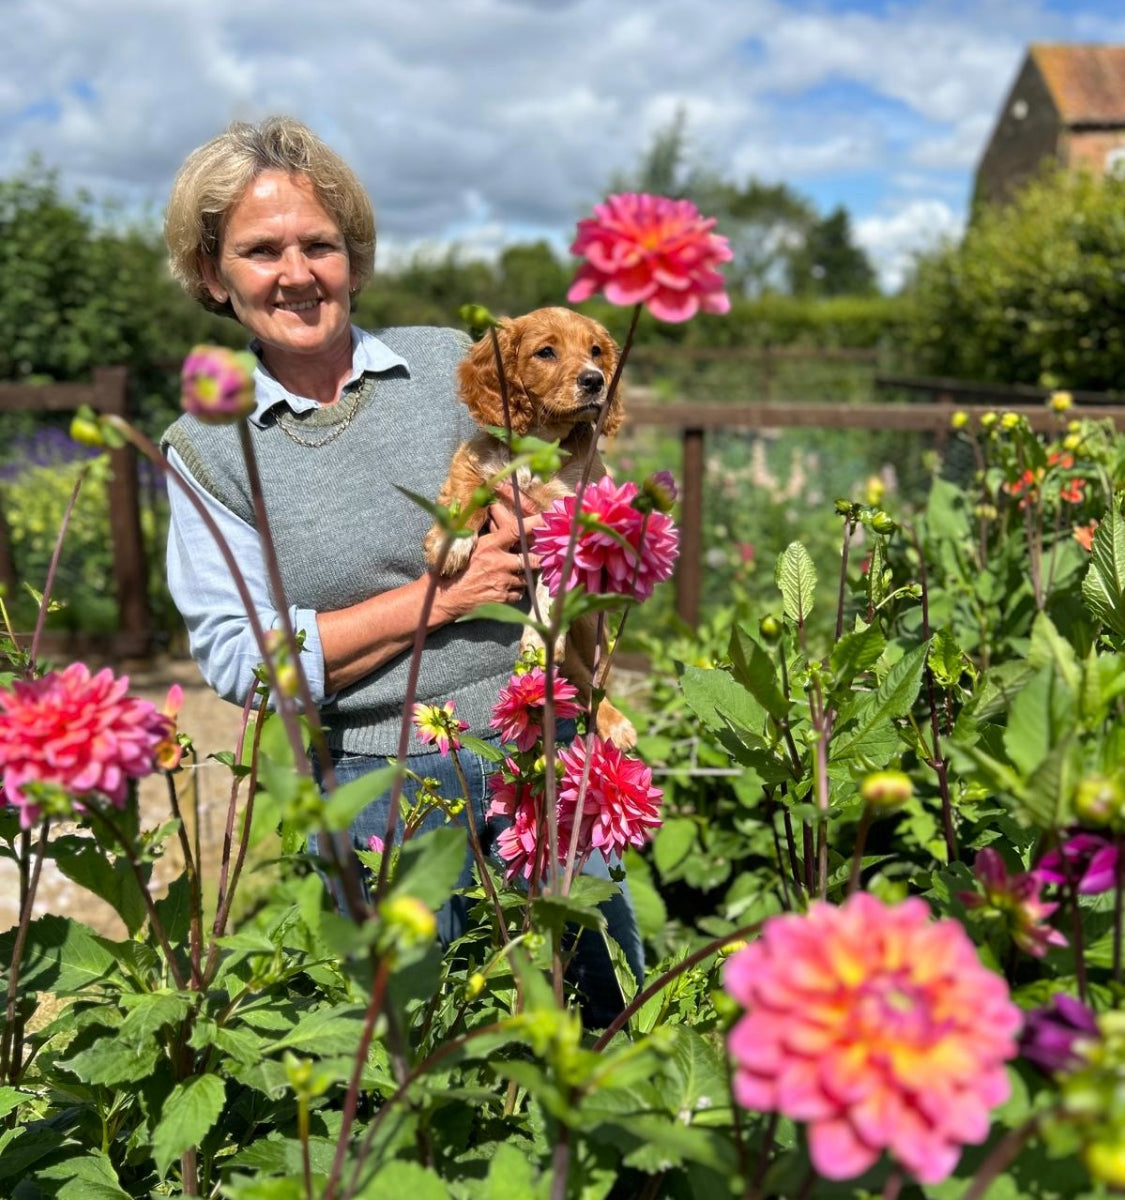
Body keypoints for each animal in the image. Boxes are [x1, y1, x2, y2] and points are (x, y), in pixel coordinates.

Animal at [422, 304, 638, 744]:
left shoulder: (573, 521)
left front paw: (537, 639)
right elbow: (466, 495)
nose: (596, 379)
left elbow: (551, 588)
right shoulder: (473, 460)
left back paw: (614, 722)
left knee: (590, 676)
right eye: (546, 352)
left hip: (590, 624)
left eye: (595, 351)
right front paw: (451, 542)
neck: (540, 443)